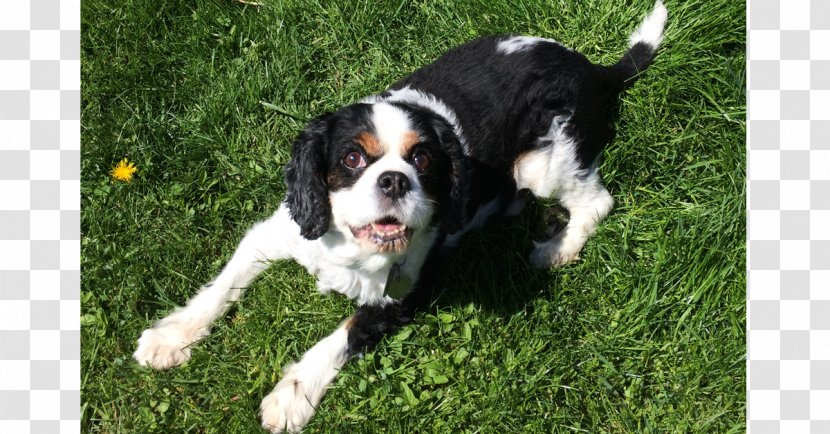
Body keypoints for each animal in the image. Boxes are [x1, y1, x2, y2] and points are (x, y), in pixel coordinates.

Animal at [133, 2, 672, 430]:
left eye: (424, 159)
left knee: (596, 202)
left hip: (544, 162)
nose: (394, 180)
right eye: (352, 158)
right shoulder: (279, 232)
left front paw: (290, 397)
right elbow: (222, 284)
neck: (353, 246)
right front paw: (169, 339)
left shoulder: (403, 294)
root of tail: (593, 69)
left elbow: (341, 335)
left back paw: (555, 250)